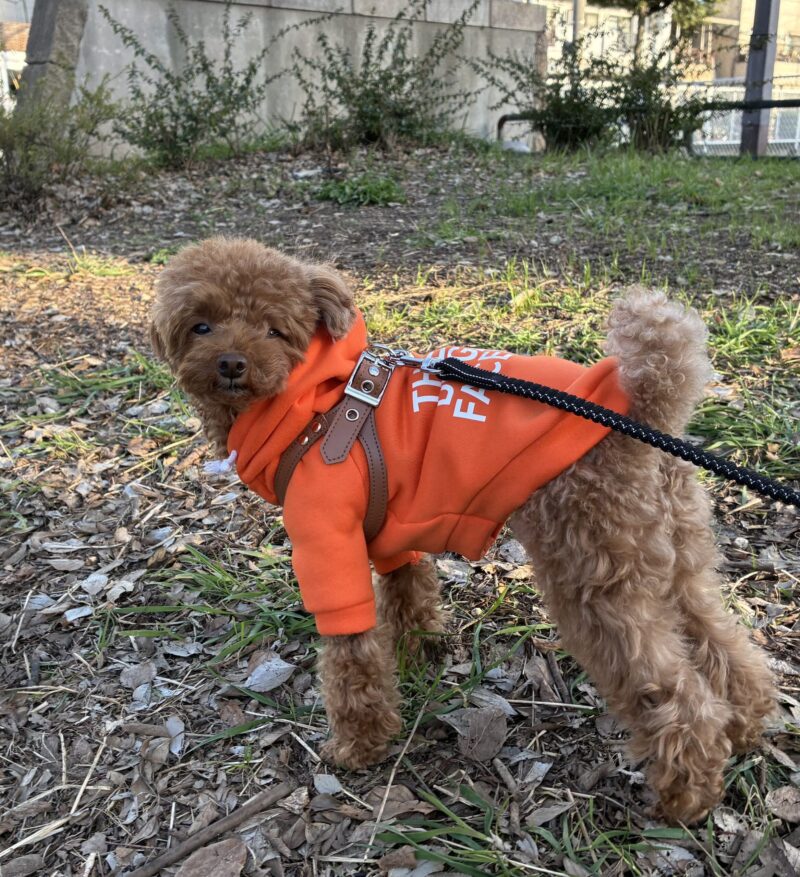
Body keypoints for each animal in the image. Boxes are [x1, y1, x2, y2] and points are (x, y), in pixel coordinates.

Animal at [150, 237, 774, 824]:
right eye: (200, 325)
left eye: (274, 330)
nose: (231, 363)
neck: (315, 406)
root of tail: (645, 408)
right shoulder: (389, 530)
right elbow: (407, 589)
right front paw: (421, 651)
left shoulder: (328, 542)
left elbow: (352, 656)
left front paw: (359, 745)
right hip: (674, 549)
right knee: (719, 639)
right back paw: (745, 724)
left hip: (594, 569)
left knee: (671, 691)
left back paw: (685, 795)